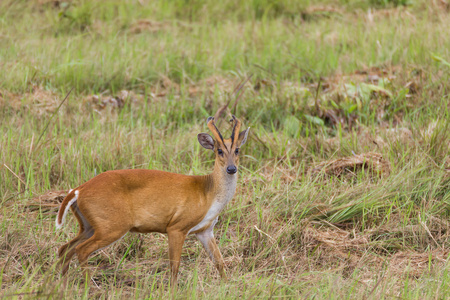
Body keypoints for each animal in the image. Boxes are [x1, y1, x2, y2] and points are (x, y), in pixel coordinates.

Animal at [55, 115, 250, 286]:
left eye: (237, 150)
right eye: (219, 151)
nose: (231, 168)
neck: (208, 193)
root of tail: (78, 190)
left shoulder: (205, 230)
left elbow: (219, 261)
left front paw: (227, 286)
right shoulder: (177, 226)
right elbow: (174, 266)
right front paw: (173, 290)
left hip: (89, 225)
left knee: (65, 248)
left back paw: (60, 284)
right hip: (112, 225)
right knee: (81, 250)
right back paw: (89, 286)